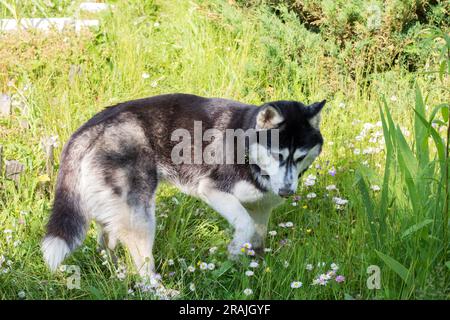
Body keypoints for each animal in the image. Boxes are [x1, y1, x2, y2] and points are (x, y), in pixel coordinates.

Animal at [42, 94, 326, 282]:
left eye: (300, 157)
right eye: (278, 154)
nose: (287, 192)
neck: (246, 148)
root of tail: (92, 125)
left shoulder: (261, 207)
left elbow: (256, 237)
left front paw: (251, 267)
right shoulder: (212, 189)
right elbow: (244, 225)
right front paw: (235, 251)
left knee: (107, 241)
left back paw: (115, 274)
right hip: (140, 216)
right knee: (142, 266)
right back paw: (158, 289)